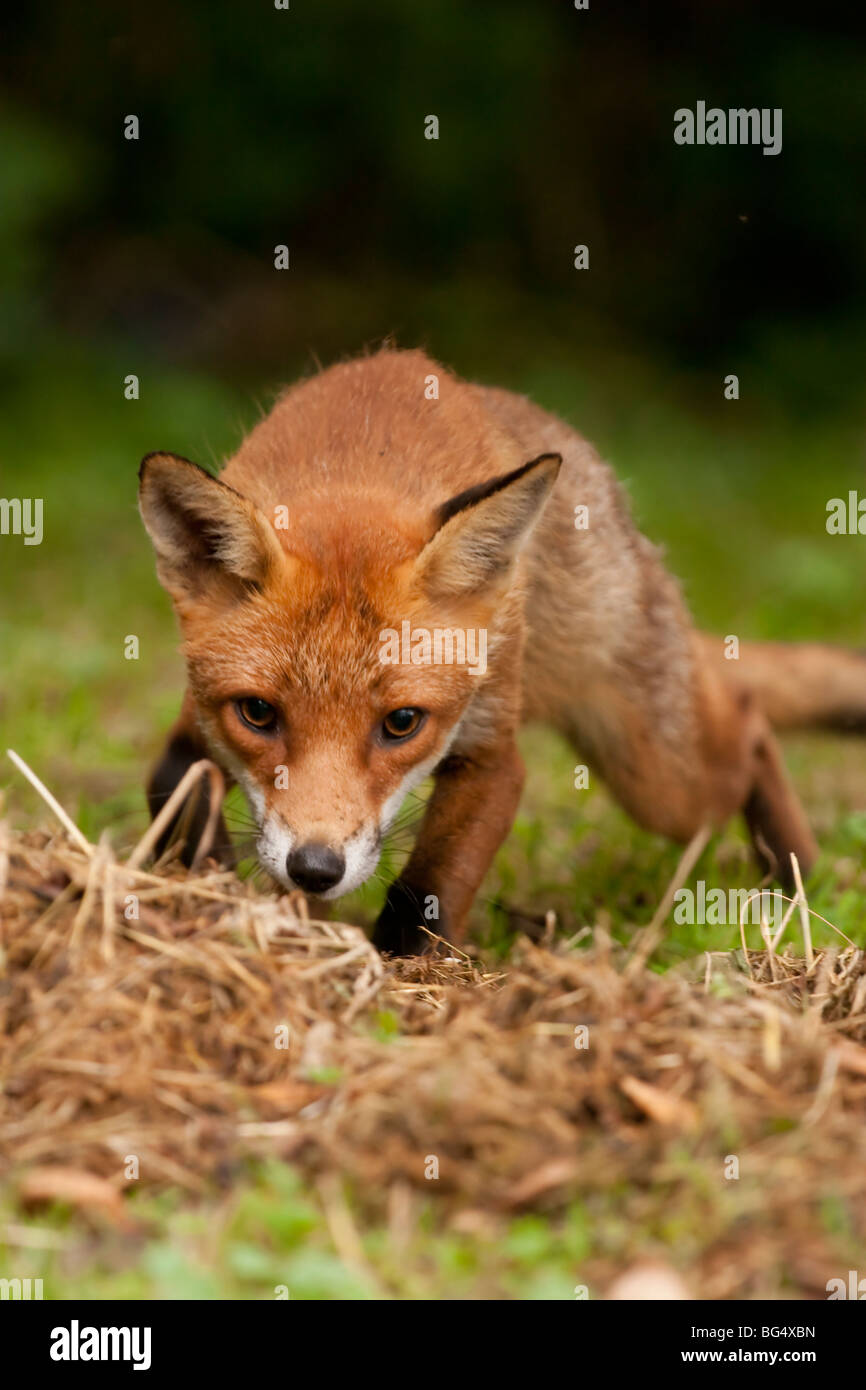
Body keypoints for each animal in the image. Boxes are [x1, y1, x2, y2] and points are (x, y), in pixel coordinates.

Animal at [138, 346, 866, 954]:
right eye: (258, 713)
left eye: (402, 723)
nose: (316, 870)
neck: (354, 470)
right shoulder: (201, 713)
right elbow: (169, 777)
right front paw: (213, 883)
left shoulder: (491, 750)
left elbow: (428, 891)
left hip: (660, 778)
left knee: (747, 717)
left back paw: (800, 878)